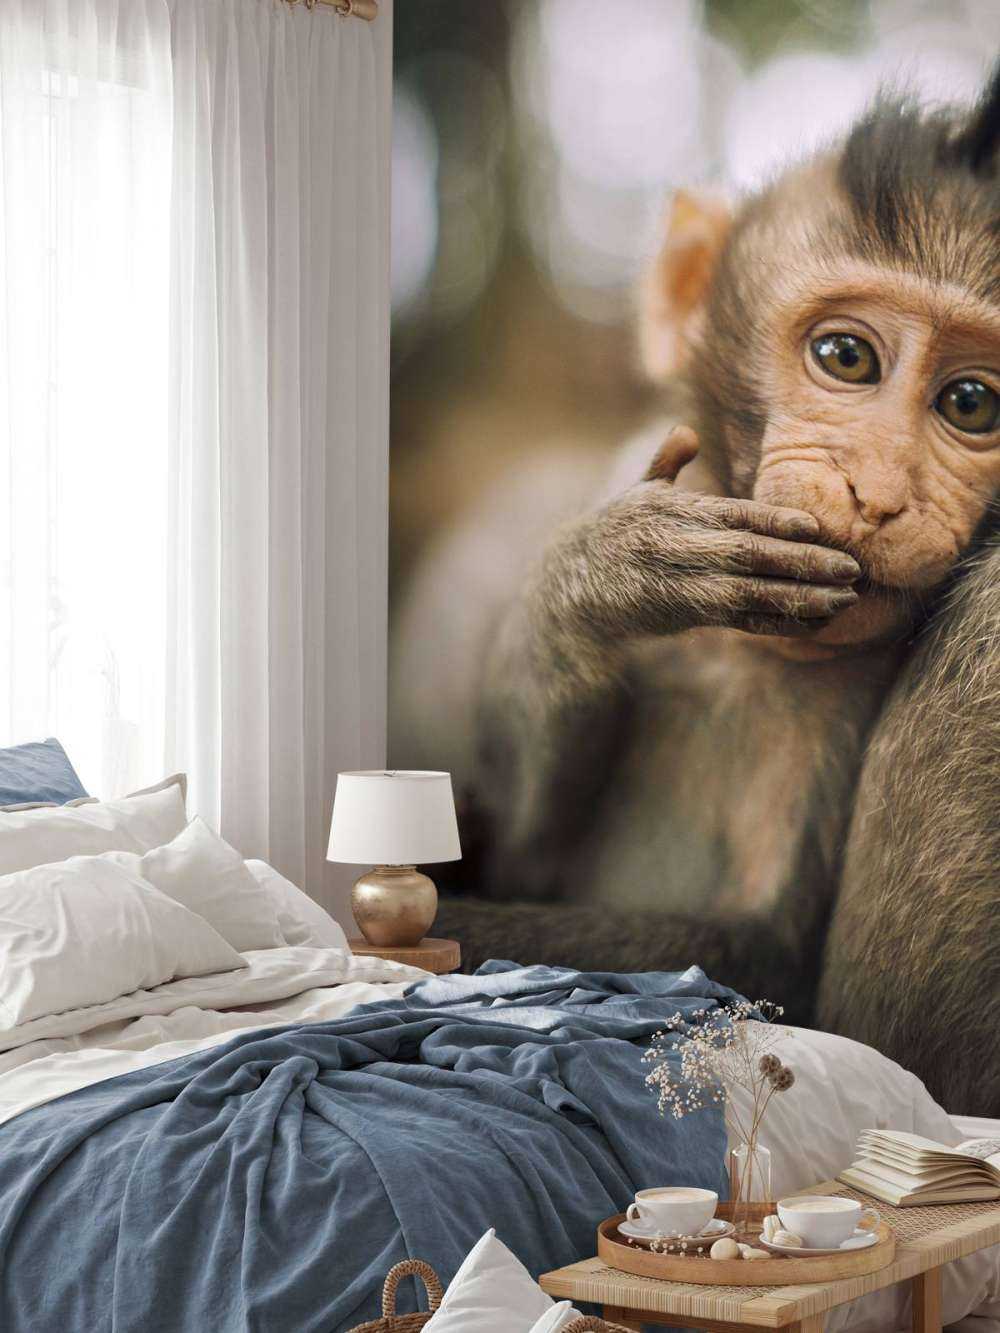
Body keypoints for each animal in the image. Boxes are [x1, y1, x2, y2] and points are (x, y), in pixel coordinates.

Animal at [392, 69, 1000, 1106]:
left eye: (971, 403)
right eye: (847, 357)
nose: (879, 495)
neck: (737, 646)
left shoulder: (837, 704)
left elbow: (766, 971)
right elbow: (519, 845)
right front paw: (606, 572)